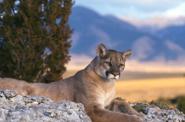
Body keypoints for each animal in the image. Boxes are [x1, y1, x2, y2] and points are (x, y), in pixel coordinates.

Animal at [0, 43, 143, 121]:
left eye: (121, 65)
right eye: (108, 63)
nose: (116, 73)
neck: (107, 84)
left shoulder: (106, 103)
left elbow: (121, 102)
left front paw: (138, 113)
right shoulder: (92, 108)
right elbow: (119, 116)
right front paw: (136, 118)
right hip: (24, 87)